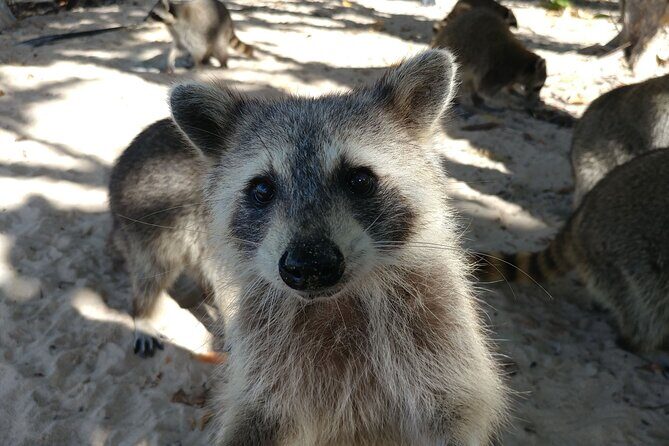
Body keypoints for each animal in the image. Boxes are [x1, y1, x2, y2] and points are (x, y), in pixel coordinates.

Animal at [110, 50, 508, 444]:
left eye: (359, 179)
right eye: (262, 189)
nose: (310, 266)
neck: (337, 303)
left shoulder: (437, 328)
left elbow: (455, 407)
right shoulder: (268, 356)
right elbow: (258, 413)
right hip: (153, 219)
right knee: (152, 273)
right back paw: (143, 312)